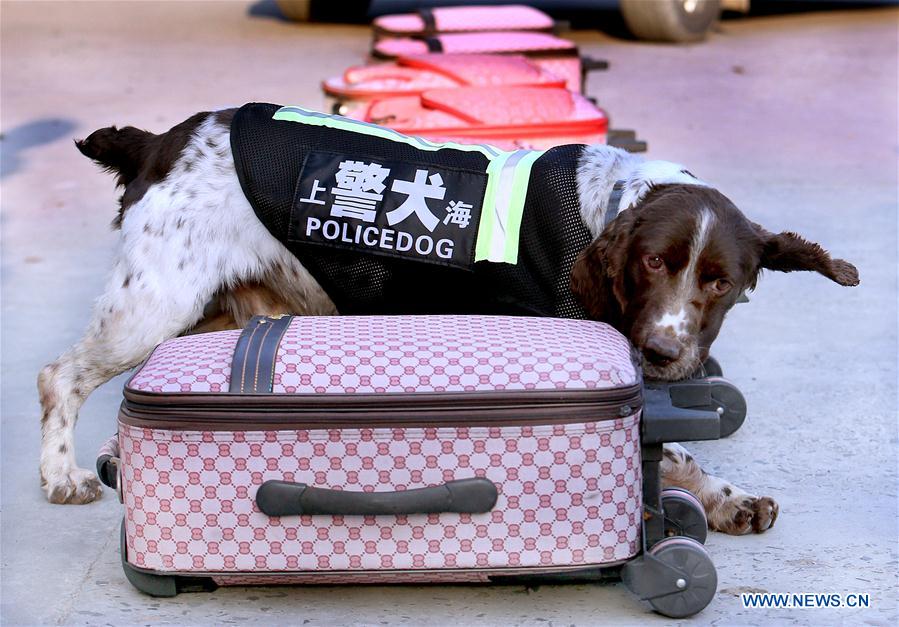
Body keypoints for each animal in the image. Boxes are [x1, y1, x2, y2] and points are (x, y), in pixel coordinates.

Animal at [38, 106, 860, 540]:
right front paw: (721, 498)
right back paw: (61, 477)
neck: (604, 211)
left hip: (209, 315)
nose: (661, 351)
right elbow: (674, 450)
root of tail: (160, 141)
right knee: (58, 377)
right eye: (653, 263)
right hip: (152, 307)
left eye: (721, 283)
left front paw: (726, 498)